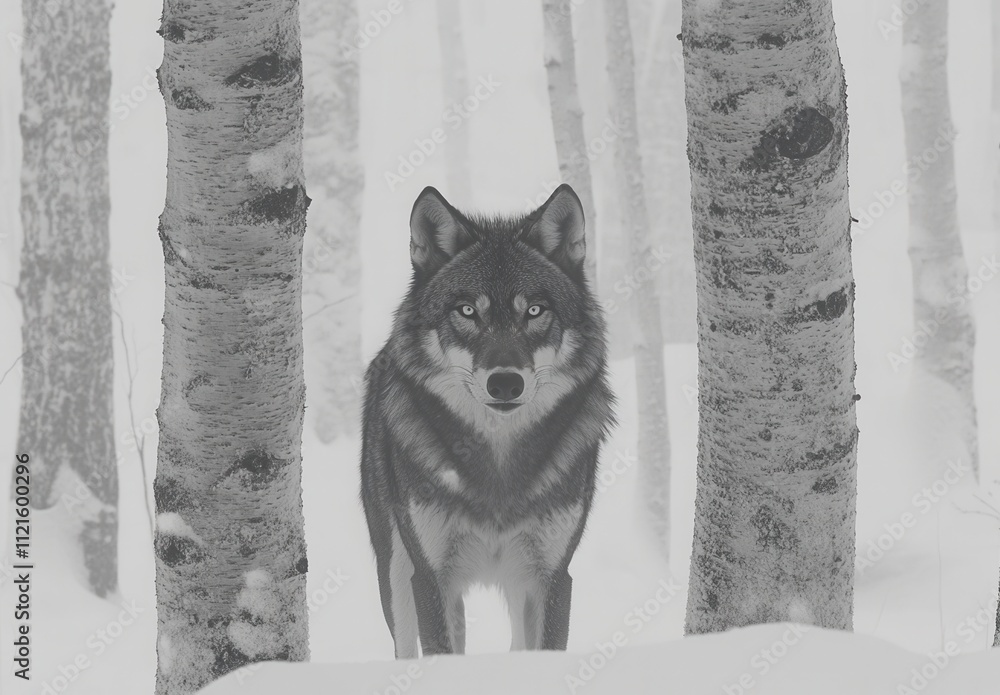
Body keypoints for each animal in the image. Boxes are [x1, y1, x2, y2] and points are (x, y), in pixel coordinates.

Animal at [360, 184, 614, 657]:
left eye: (534, 311)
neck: (498, 461)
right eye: (466, 311)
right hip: (396, 573)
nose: (505, 383)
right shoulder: (429, 578)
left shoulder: (553, 577)